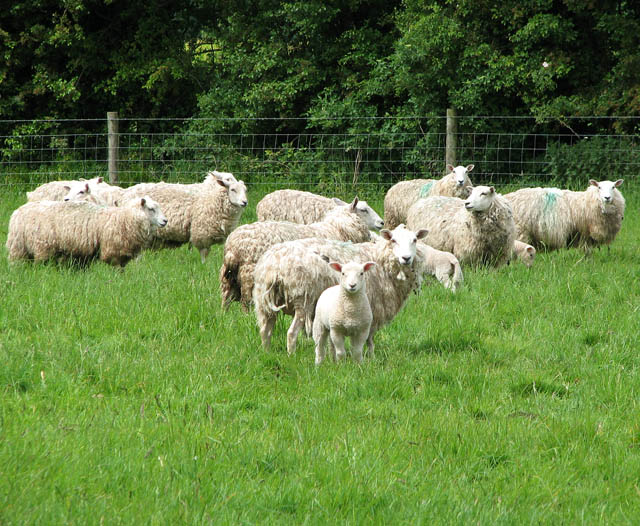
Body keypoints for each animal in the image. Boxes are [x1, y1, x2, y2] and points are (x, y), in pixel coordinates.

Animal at [6, 197, 168, 268]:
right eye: (151, 209)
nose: (165, 221)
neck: (122, 218)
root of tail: (17, 212)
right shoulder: (112, 252)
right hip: (34, 248)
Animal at [220, 199, 380, 314]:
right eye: (364, 210)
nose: (381, 222)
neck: (337, 229)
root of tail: (232, 246)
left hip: (229, 276)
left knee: (226, 298)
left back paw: (225, 316)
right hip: (248, 274)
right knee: (246, 301)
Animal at [252, 225, 428, 356]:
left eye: (414, 240)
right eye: (393, 240)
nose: (406, 258)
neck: (380, 260)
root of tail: (274, 266)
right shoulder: (373, 306)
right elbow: (370, 338)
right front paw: (371, 357)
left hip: (264, 300)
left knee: (265, 330)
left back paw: (267, 353)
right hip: (302, 300)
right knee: (291, 333)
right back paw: (291, 356)